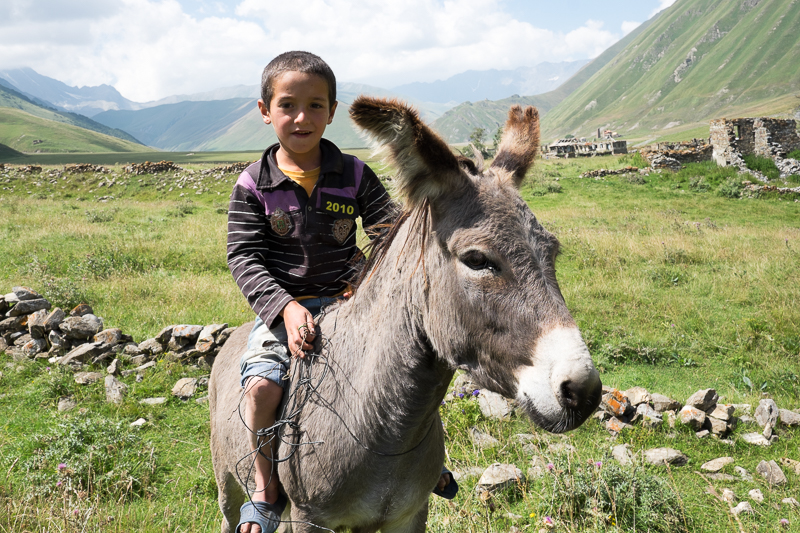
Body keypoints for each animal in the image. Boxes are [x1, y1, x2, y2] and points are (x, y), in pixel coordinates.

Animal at [209, 96, 602, 533]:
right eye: (477, 260)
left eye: (552, 251)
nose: (583, 391)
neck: (383, 425)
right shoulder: (309, 518)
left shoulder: (410, 514)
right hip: (230, 481)